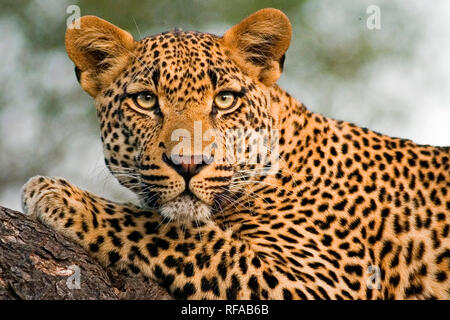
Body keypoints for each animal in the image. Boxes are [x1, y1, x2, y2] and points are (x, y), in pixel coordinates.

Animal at [21, 8, 450, 300]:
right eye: (145, 100)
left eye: (225, 99)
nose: (188, 164)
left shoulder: (322, 282)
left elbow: (180, 235)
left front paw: (62, 197)